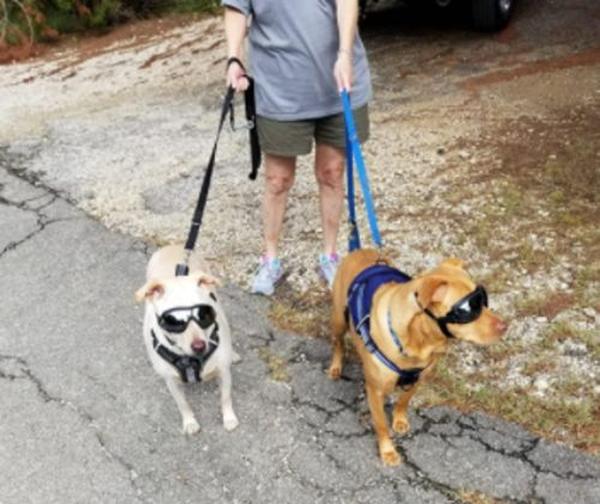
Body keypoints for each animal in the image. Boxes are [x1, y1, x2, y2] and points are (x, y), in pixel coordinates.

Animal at [136, 244, 239, 434]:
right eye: (173, 320)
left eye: (204, 314)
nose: (199, 346)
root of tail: (172, 245)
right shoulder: (171, 382)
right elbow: (182, 404)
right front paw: (189, 421)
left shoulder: (224, 372)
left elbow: (225, 397)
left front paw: (229, 418)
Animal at [328, 250, 506, 466]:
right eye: (468, 310)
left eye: (483, 300)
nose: (505, 326)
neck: (419, 340)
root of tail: (358, 250)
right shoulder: (375, 392)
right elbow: (381, 424)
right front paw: (387, 451)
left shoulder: (418, 379)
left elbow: (403, 401)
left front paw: (399, 420)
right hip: (338, 321)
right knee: (338, 343)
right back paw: (336, 366)